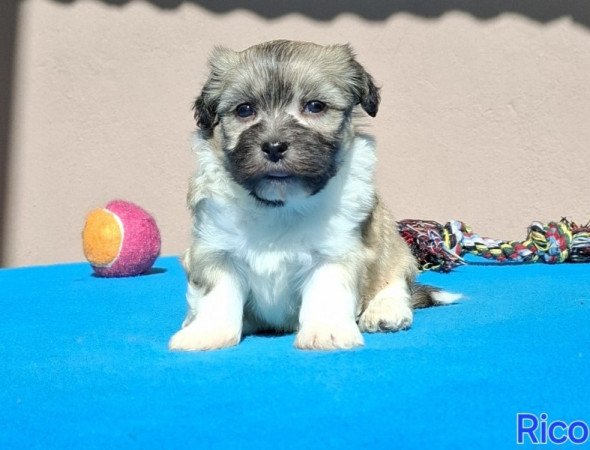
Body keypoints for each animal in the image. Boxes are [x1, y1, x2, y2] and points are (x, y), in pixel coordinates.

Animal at [169, 40, 460, 352]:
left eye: (315, 106)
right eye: (244, 110)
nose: (274, 147)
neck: (281, 205)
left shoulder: (336, 252)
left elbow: (326, 293)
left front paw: (326, 331)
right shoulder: (215, 250)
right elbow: (217, 296)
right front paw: (207, 332)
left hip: (393, 247)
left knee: (394, 282)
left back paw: (385, 311)